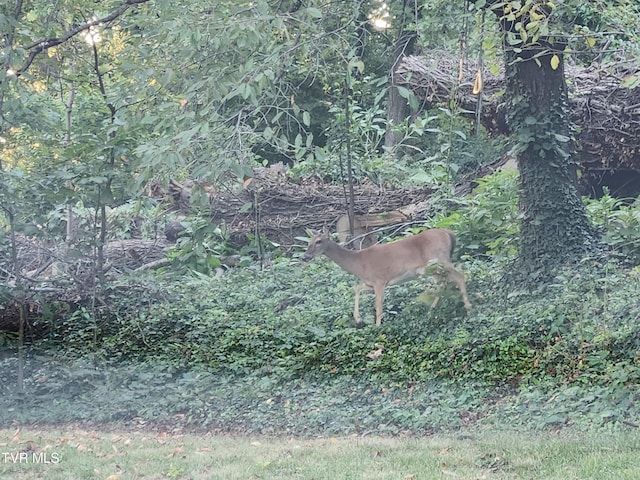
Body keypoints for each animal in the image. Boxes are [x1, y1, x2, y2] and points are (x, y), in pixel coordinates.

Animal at [300, 229, 470, 326]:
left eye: (319, 241)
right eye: (308, 242)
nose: (305, 257)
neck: (358, 263)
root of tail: (449, 233)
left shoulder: (379, 281)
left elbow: (378, 305)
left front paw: (377, 326)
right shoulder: (370, 282)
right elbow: (356, 288)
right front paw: (358, 319)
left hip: (440, 259)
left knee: (459, 275)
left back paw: (468, 309)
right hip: (431, 268)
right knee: (444, 282)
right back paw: (431, 312)